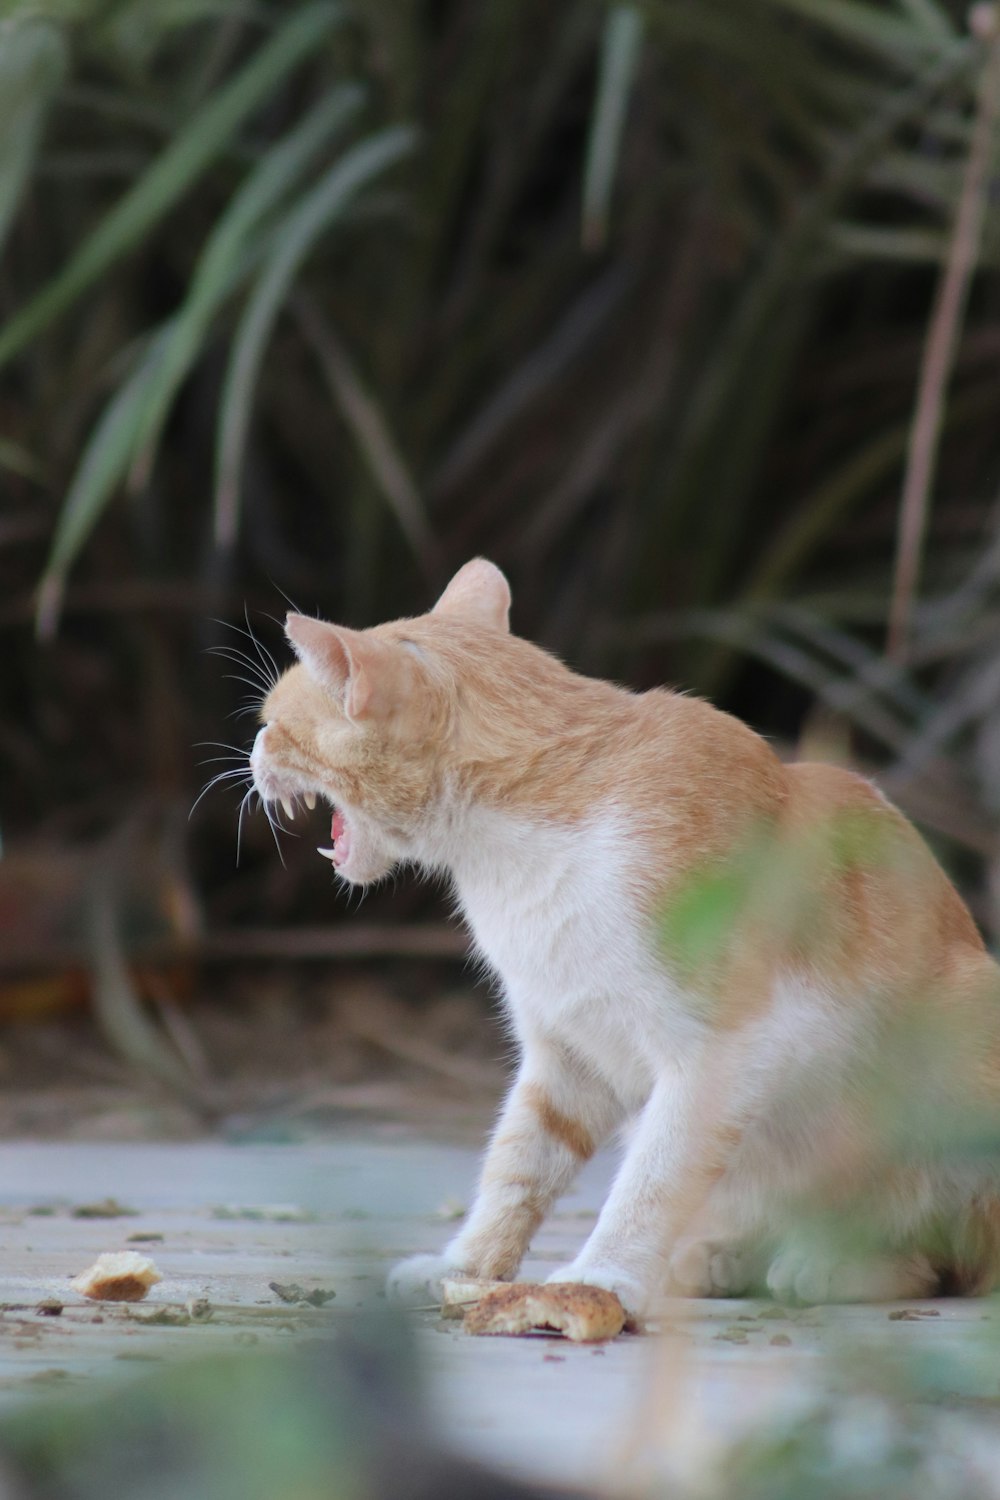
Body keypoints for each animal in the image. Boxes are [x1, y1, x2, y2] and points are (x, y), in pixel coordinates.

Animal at [248, 558, 1000, 1308]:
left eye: (272, 723)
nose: (252, 748)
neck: (512, 855)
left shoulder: (719, 1056)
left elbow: (651, 1180)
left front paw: (600, 1277)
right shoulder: (565, 1056)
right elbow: (516, 1169)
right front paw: (465, 1266)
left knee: (943, 1260)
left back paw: (835, 1267)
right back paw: (724, 1257)